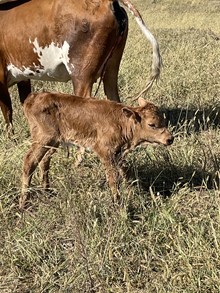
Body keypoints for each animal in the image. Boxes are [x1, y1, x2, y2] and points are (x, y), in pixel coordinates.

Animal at [0, 0, 162, 128]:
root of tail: (108, 2)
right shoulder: (23, 76)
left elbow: (7, 113)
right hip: (111, 68)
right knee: (114, 99)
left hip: (81, 74)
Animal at [20, 92, 174, 209]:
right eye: (152, 124)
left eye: (164, 120)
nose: (170, 139)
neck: (122, 123)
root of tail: (34, 97)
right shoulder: (105, 152)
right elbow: (113, 179)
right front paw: (118, 203)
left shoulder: (118, 154)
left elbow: (125, 172)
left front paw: (133, 192)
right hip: (43, 138)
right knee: (30, 162)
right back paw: (24, 203)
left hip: (54, 142)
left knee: (44, 161)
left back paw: (47, 190)